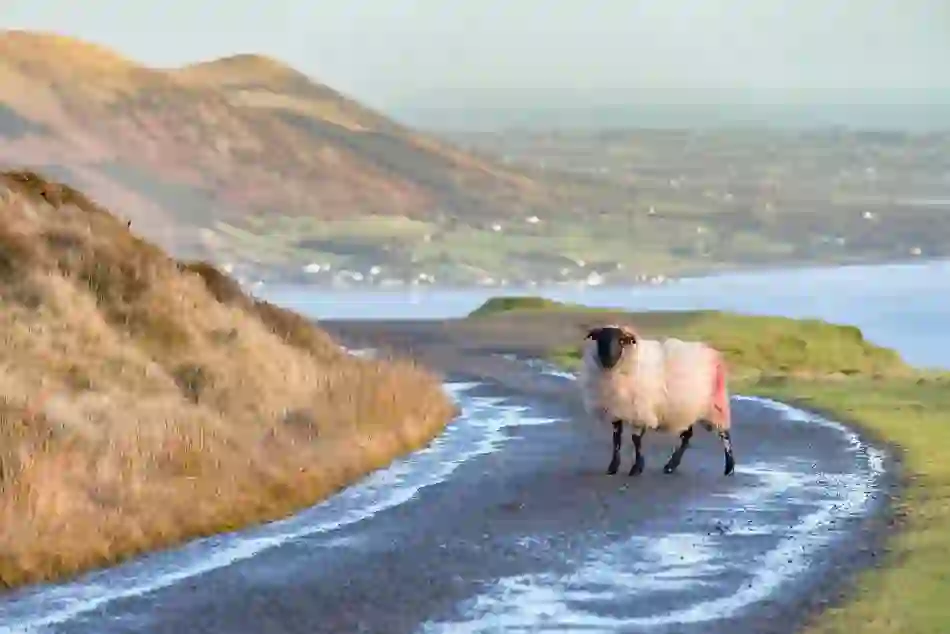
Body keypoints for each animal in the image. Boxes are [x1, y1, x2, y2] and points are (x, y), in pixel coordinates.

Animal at [580, 320, 736, 474]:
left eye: (621, 341)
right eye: (600, 339)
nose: (608, 358)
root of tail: (713, 353)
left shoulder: (640, 411)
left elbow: (636, 439)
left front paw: (636, 468)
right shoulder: (616, 410)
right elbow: (616, 439)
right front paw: (613, 467)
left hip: (715, 405)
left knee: (724, 434)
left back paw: (729, 467)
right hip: (686, 408)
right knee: (687, 436)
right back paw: (671, 466)